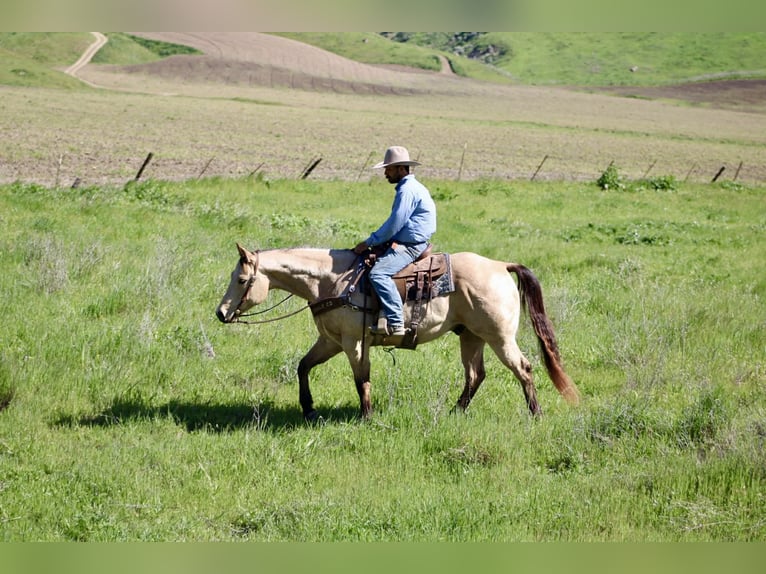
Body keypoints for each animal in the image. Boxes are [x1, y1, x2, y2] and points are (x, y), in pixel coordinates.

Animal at [216, 243, 580, 421]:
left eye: (241, 279)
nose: (220, 313)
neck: (332, 281)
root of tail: (501, 265)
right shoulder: (330, 341)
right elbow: (303, 366)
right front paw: (308, 409)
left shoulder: (354, 342)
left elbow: (361, 379)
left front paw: (366, 417)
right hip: (470, 336)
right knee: (476, 375)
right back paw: (455, 413)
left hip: (499, 338)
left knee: (523, 368)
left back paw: (536, 414)